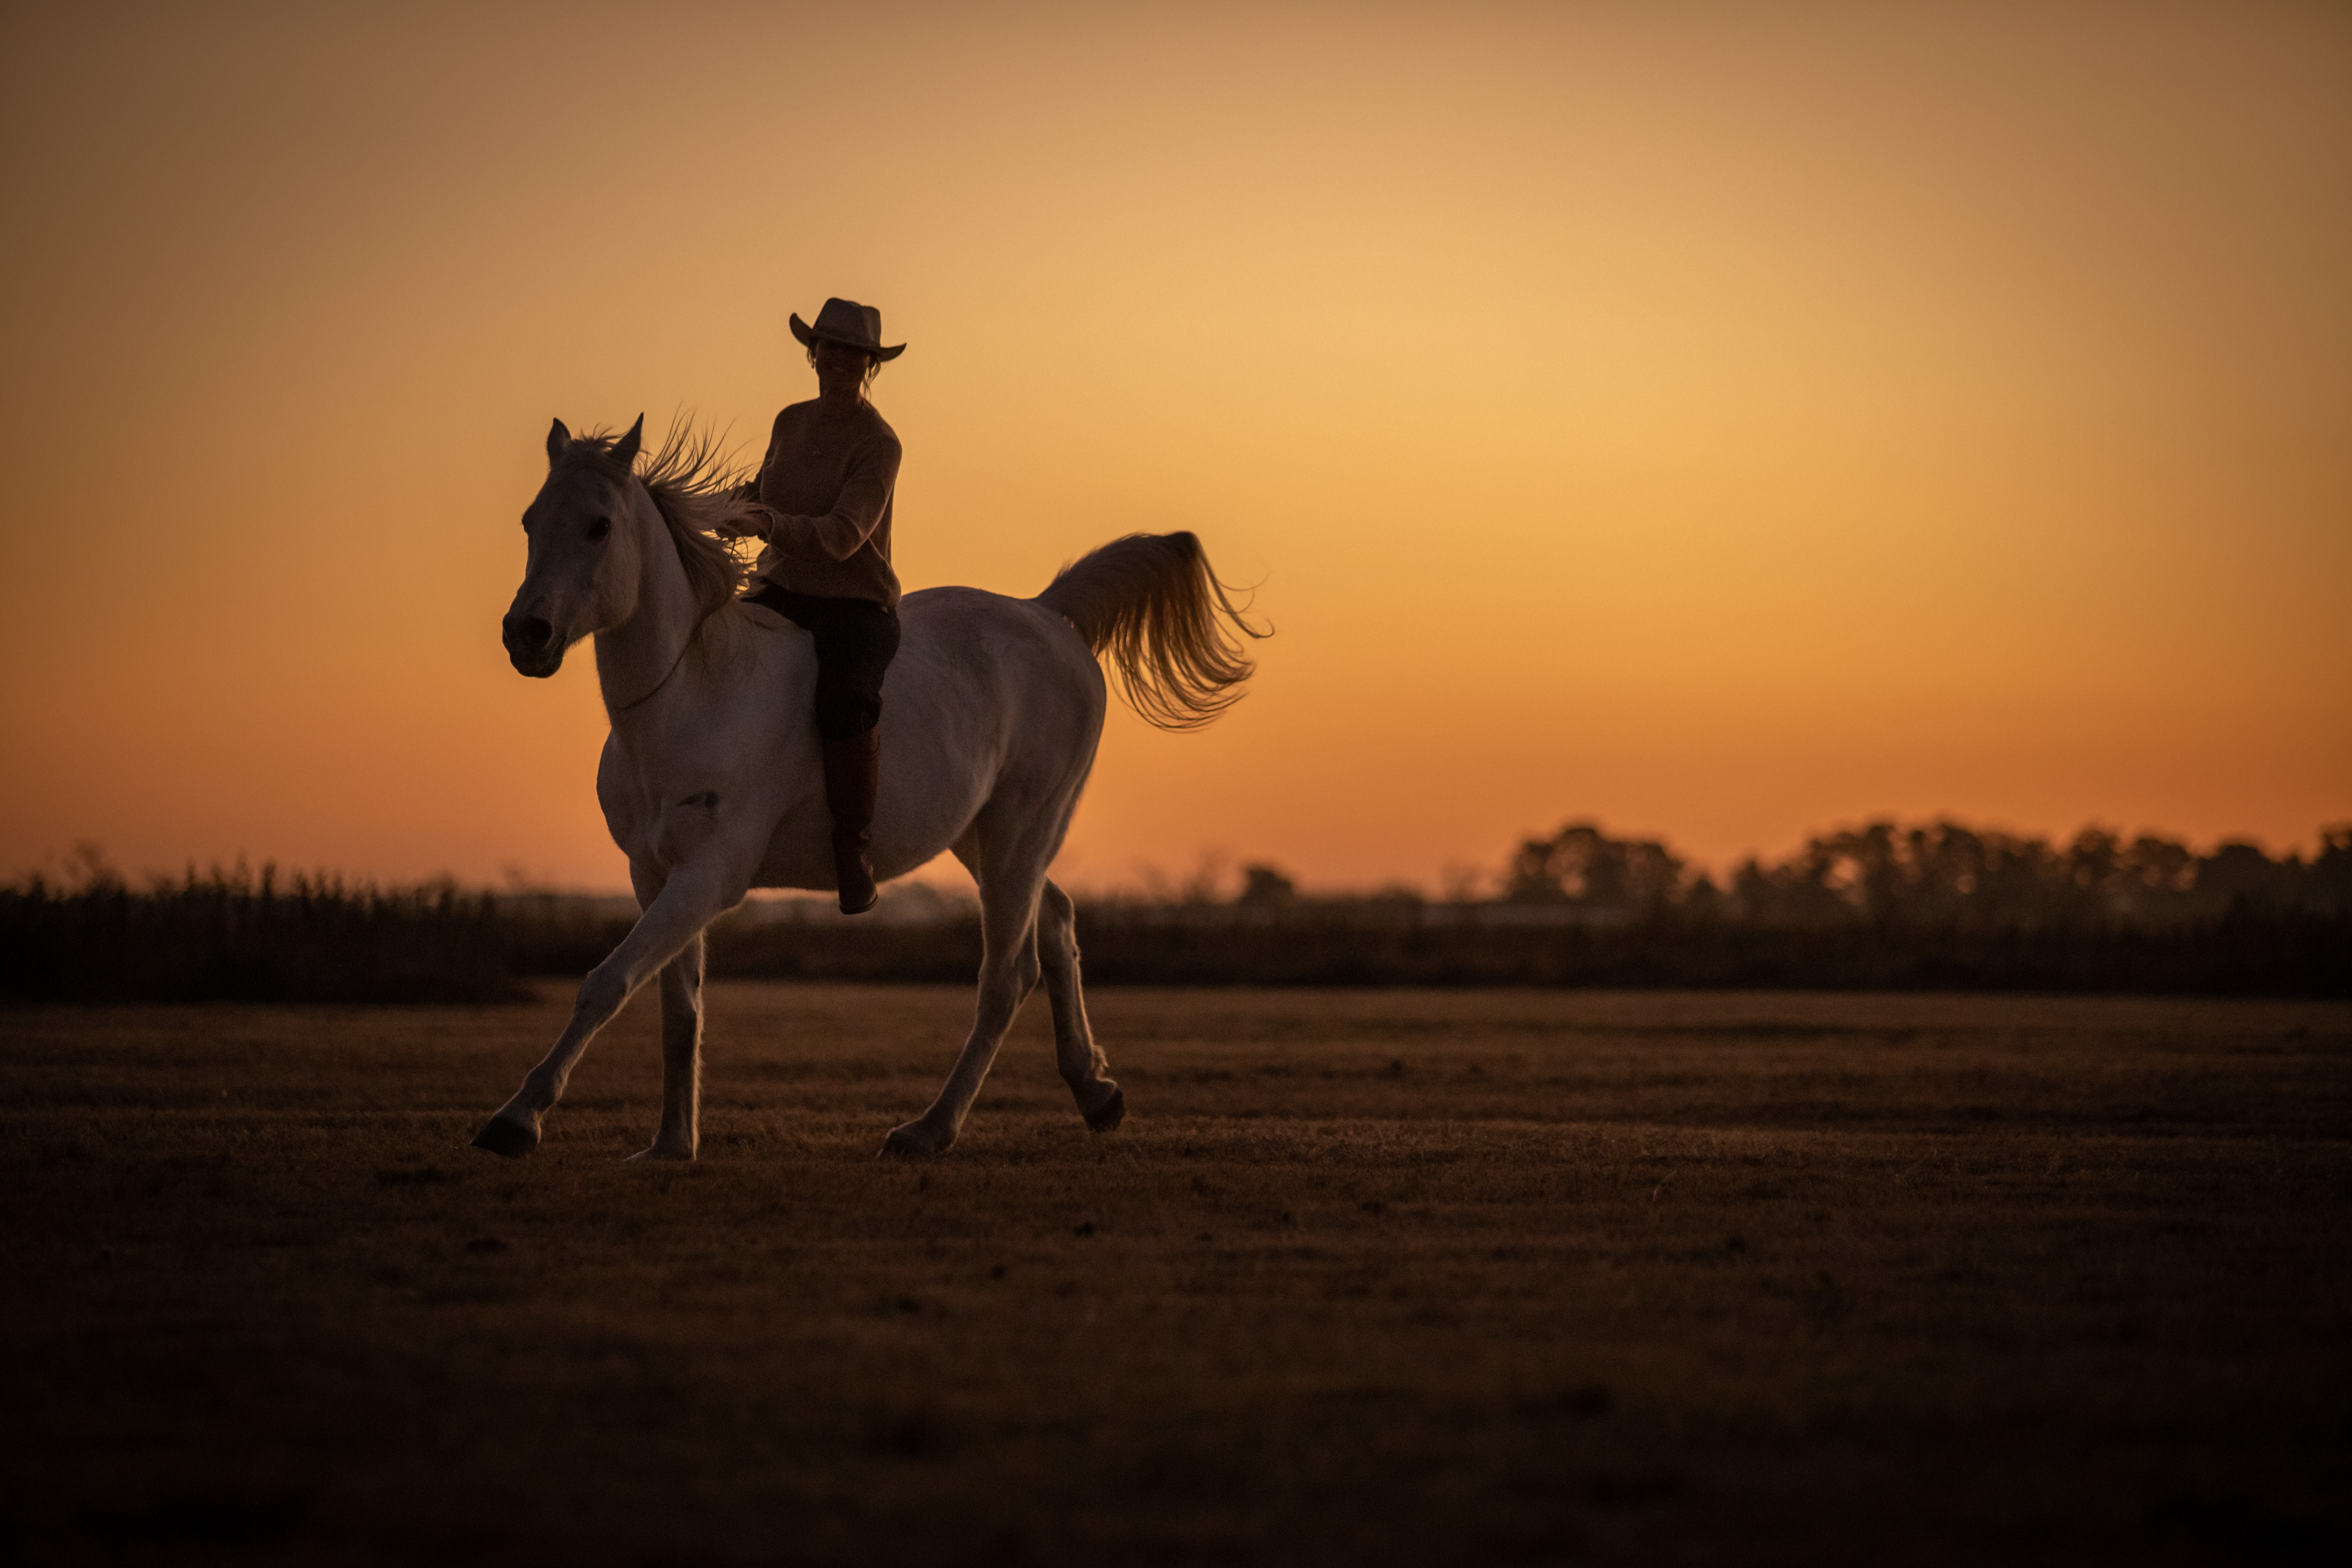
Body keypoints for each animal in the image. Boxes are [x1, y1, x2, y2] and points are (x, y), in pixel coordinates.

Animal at [471, 415, 1263, 1160]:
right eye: (531, 521)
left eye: (599, 525)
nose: (526, 634)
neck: (693, 693)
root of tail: (1047, 612)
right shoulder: (654, 874)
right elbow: (677, 1007)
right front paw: (670, 1144)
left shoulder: (709, 876)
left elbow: (608, 982)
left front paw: (516, 1120)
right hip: (986, 840)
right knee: (1060, 920)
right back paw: (1096, 1092)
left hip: (1020, 831)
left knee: (1007, 975)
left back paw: (929, 1130)